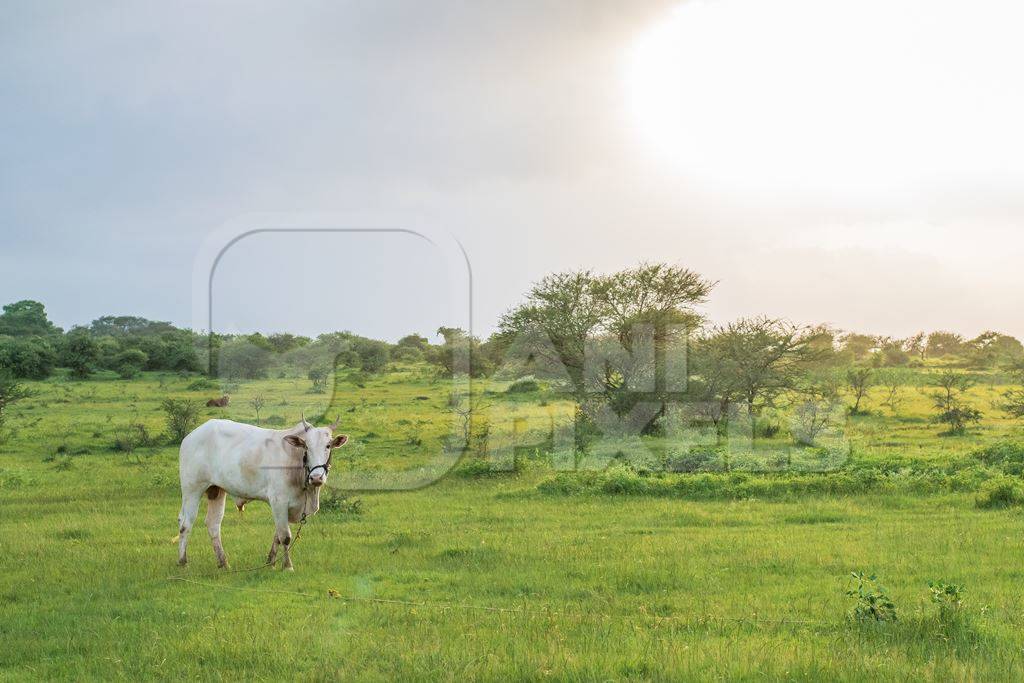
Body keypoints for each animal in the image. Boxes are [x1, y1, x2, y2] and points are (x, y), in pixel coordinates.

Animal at [176, 417, 348, 573]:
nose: (316, 478)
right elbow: (285, 536)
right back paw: (183, 562)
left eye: (328, 445)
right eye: (306, 446)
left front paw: (270, 562)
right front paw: (288, 566)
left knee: (213, 524)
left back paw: (223, 563)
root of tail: (190, 437)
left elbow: (277, 536)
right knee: (185, 524)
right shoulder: (278, 502)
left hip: (216, 490)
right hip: (192, 489)